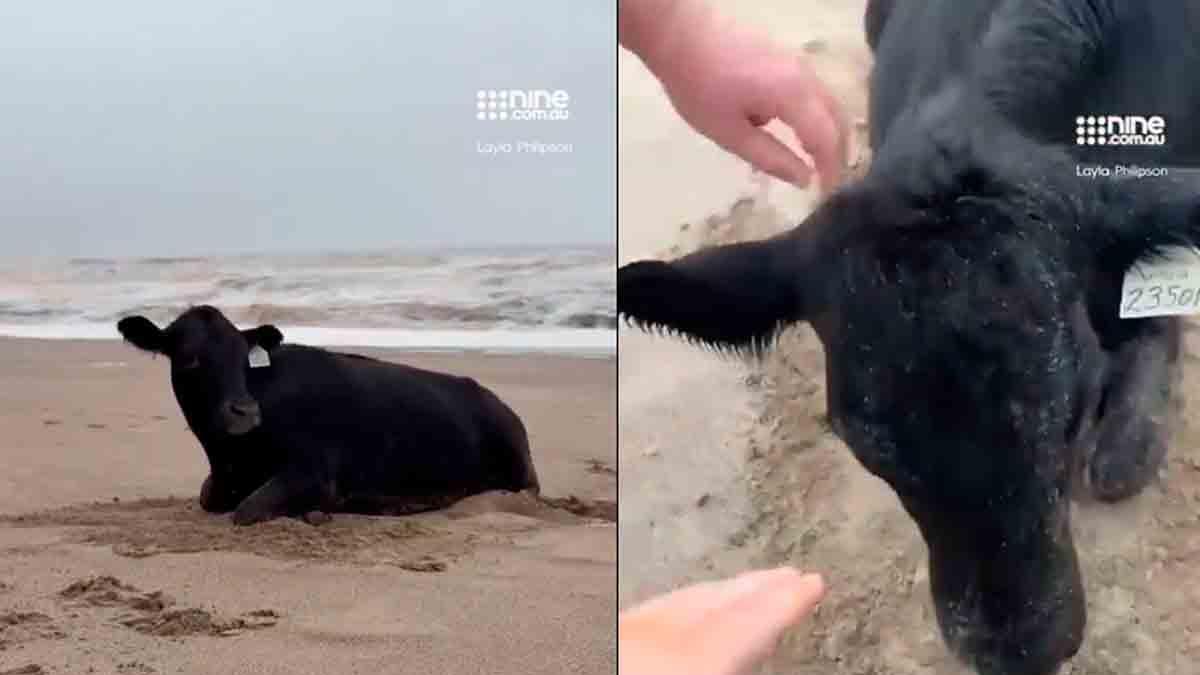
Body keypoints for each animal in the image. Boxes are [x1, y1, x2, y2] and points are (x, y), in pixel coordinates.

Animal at [116, 305, 540, 527]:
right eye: (190, 359)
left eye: (243, 358)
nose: (245, 411)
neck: (228, 457)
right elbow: (209, 497)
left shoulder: (316, 472)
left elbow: (246, 510)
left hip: (519, 470)